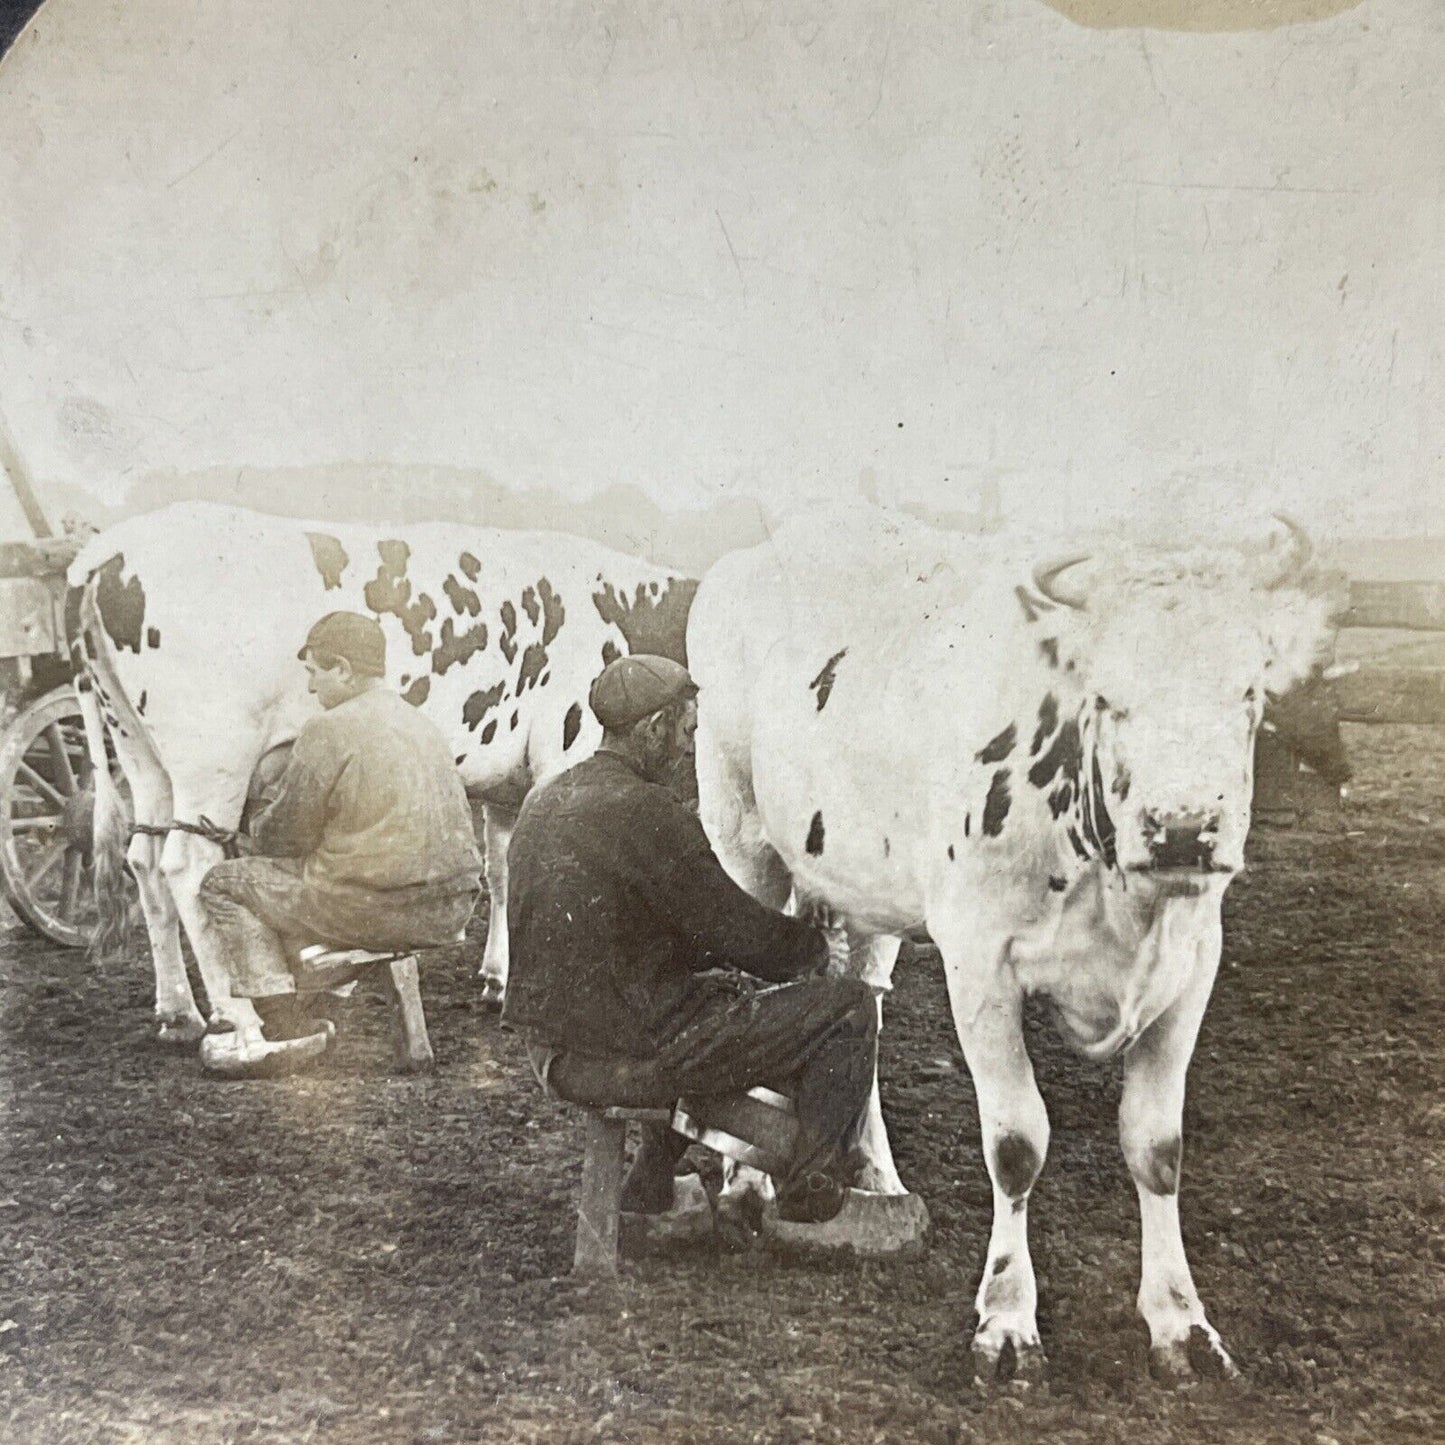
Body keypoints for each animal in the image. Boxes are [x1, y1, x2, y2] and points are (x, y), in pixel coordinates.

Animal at [68, 502, 693, 1046]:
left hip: (140, 752)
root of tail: (112, 547)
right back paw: (240, 1021)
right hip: (212, 756)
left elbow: (504, 866)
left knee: (144, 860)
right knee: (186, 865)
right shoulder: (562, 751)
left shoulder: (507, 780)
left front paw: (499, 979)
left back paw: (179, 1014)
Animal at [693, 499, 1335, 1387]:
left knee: (860, 997)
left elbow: (1158, 1146)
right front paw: (1005, 1319)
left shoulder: (1191, 959)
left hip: (863, 889)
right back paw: (746, 1181)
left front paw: (1180, 1320)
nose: (1180, 828)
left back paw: (876, 1174)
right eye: (1108, 697)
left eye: (1247, 692)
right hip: (741, 841)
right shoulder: (980, 962)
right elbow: (1016, 1144)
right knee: (761, 984)